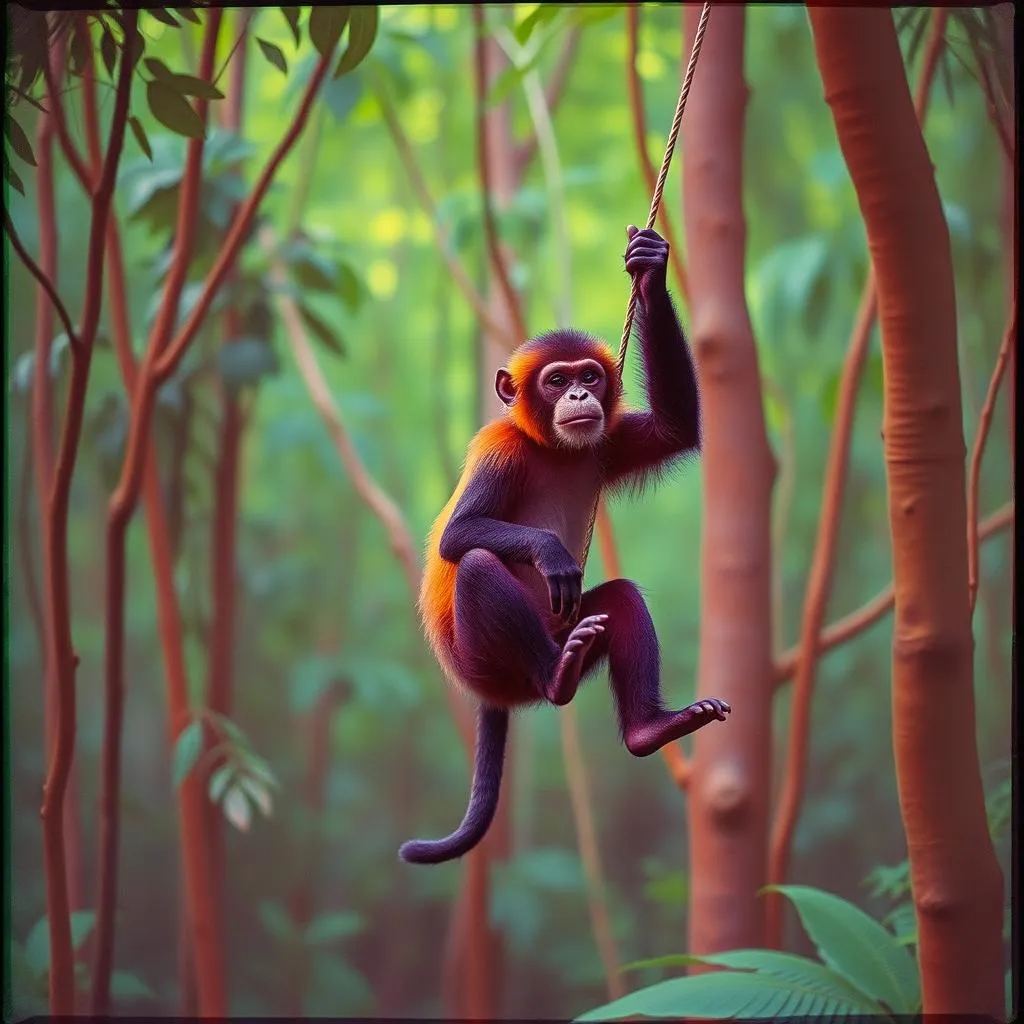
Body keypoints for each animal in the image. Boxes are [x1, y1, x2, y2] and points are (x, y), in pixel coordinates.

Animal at [400, 226, 730, 865]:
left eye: (589, 377)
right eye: (556, 380)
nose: (579, 395)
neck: (550, 446)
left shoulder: (610, 440)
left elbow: (675, 428)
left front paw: (650, 268)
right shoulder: (500, 450)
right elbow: (460, 536)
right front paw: (551, 553)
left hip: (566, 627)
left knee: (619, 600)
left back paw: (650, 728)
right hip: (491, 665)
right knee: (478, 565)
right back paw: (558, 678)